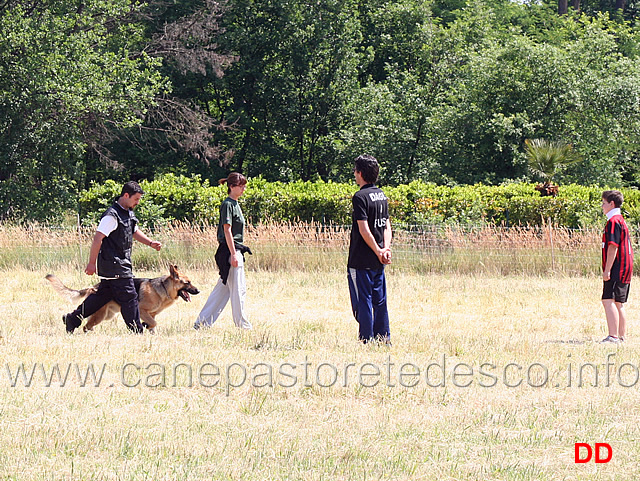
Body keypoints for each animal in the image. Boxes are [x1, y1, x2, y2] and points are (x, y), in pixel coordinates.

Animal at [45, 262, 198, 334]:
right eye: (187, 283)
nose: (199, 291)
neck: (163, 288)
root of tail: (93, 287)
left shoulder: (152, 314)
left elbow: (153, 325)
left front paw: (148, 330)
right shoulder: (141, 310)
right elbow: (153, 323)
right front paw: (144, 326)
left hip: (106, 316)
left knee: (87, 325)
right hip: (101, 315)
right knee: (85, 325)